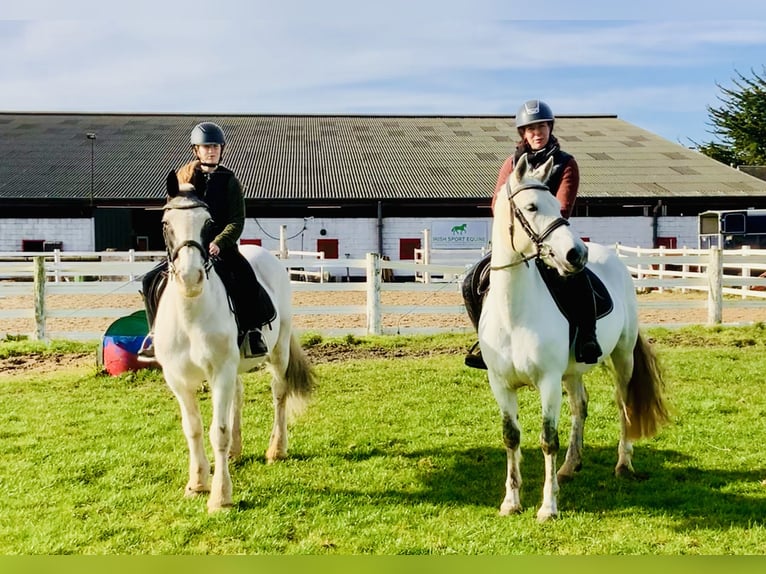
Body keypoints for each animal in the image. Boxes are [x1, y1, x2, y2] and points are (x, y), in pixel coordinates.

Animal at [154, 173, 316, 516]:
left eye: (208, 223)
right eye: (165, 224)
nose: (190, 278)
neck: (191, 315)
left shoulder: (220, 371)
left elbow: (219, 431)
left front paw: (220, 497)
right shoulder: (178, 379)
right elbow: (193, 429)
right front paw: (197, 483)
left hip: (277, 351)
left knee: (279, 393)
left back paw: (276, 449)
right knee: (238, 398)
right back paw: (235, 453)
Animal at [484, 155, 668, 524]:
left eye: (559, 205)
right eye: (531, 206)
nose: (575, 254)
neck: (514, 313)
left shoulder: (548, 381)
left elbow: (547, 440)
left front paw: (548, 506)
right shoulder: (501, 384)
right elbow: (511, 438)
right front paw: (511, 502)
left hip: (622, 357)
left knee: (623, 404)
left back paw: (623, 464)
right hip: (572, 372)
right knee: (580, 407)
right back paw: (570, 466)